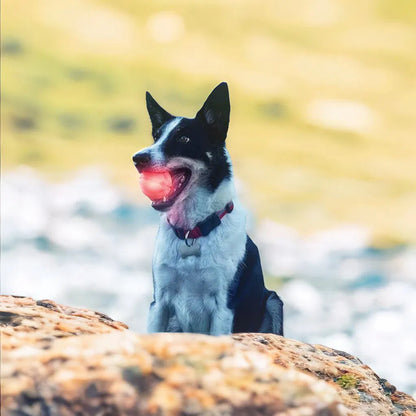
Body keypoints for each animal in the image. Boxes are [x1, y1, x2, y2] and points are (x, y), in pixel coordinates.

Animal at [133, 82, 282, 334]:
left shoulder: (224, 308)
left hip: (273, 300)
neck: (192, 231)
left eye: (184, 138)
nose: (137, 158)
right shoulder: (159, 303)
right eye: (156, 137)